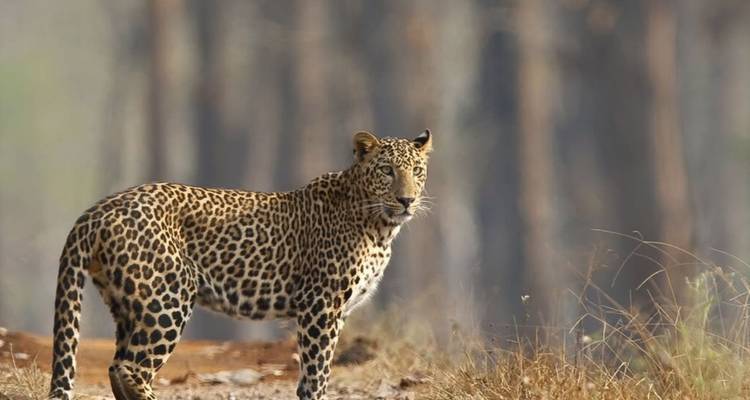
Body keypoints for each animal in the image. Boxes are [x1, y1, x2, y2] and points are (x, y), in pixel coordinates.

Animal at [48, 130, 433, 400]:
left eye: (417, 171)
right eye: (386, 171)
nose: (407, 200)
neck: (380, 227)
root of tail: (97, 210)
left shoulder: (336, 311)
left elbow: (314, 373)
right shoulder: (321, 305)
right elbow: (317, 374)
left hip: (129, 305)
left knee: (117, 366)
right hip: (167, 299)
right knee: (132, 369)